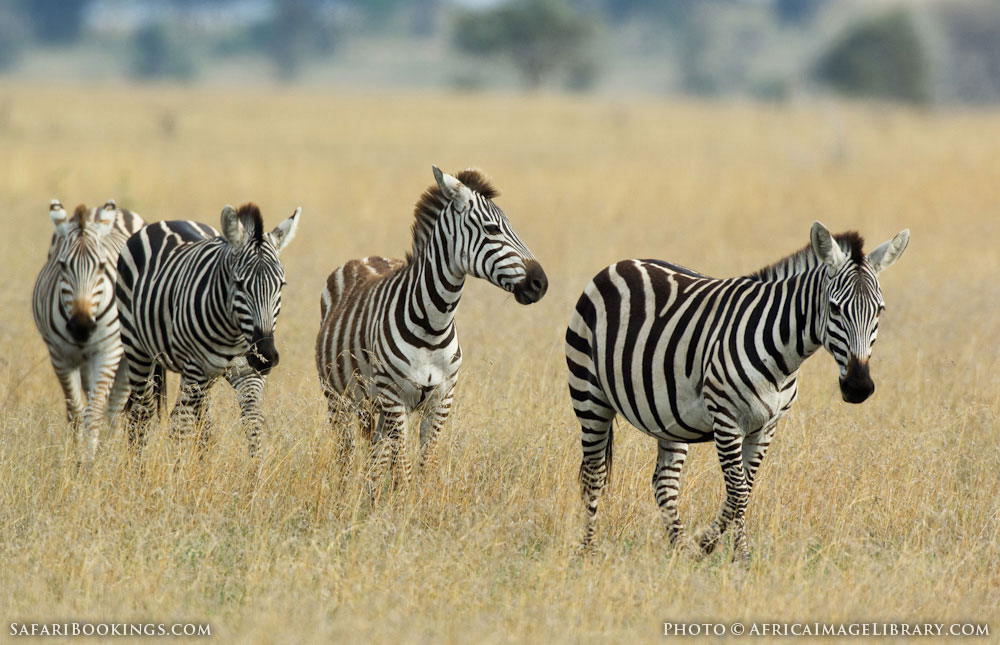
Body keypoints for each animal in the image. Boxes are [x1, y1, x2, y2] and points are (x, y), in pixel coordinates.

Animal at [32, 199, 146, 460]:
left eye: (102, 265)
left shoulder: (108, 351)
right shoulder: (60, 357)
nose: (81, 327)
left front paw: (91, 463)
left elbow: (93, 412)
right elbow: (75, 412)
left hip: (128, 354)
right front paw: (75, 458)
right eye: (62, 265)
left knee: (115, 406)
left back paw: (111, 451)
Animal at [115, 204, 298, 456]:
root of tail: (167, 221)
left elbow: (253, 422)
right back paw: (138, 464)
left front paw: (256, 467)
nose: (266, 356)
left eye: (281, 285)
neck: (233, 332)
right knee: (144, 413)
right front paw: (177, 466)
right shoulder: (195, 368)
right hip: (138, 350)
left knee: (201, 418)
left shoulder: (247, 372)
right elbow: (181, 427)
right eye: (239, 284)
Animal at [316, 165, 548, 488]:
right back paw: (345, 490)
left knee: (375, 454)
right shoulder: (394, 397)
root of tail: (363, 258)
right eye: (491, 229)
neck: (432, 326)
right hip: (338, 399)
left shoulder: (441, 400)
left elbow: (426, 465)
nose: (541, 283)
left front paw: (419, 499)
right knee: (345, 453)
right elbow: (403, 469)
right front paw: (402, 500)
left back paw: (371, 492)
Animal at [568, 221, 912, 564]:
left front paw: (719, 547)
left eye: (879, 311)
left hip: (669, 416)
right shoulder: (726, 419)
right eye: (835, 308)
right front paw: (727, 550)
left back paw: (679, 548)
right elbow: (738, 490)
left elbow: (746, 488)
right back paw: (589, 548)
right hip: (589, 396)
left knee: (664, 482)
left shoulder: (766, 426)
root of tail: (622, 263)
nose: (858, 386)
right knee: (594, 474)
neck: (782, 354)